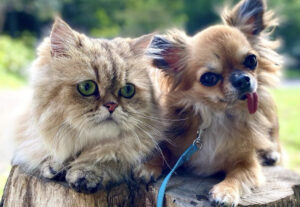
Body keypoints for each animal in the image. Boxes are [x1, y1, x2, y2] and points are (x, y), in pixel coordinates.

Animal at [11, 17, 165, 194]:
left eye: (127, 90)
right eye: (87, 87)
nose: (111, 105)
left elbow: (107, 155)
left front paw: (86, 172)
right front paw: (54, 165)